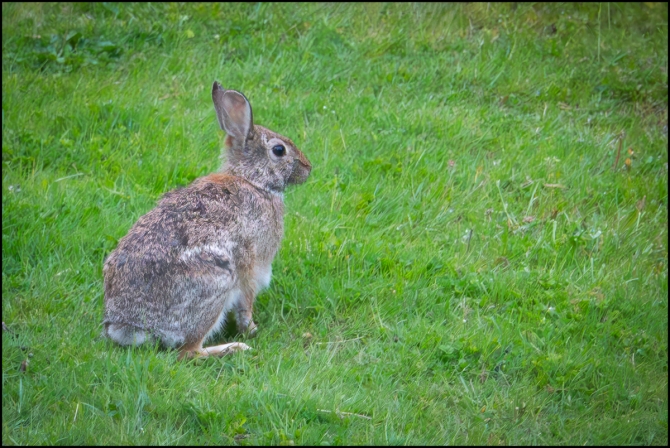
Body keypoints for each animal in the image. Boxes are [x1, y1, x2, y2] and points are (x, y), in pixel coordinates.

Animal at [102, 81, 312, 359]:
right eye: (279, 150)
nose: (308, 168)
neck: (252, 181)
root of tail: (128, 325)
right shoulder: (251, 263)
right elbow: (246, 301)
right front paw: (250, 329)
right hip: (216, 283)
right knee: (189, 352)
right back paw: (233, 348)